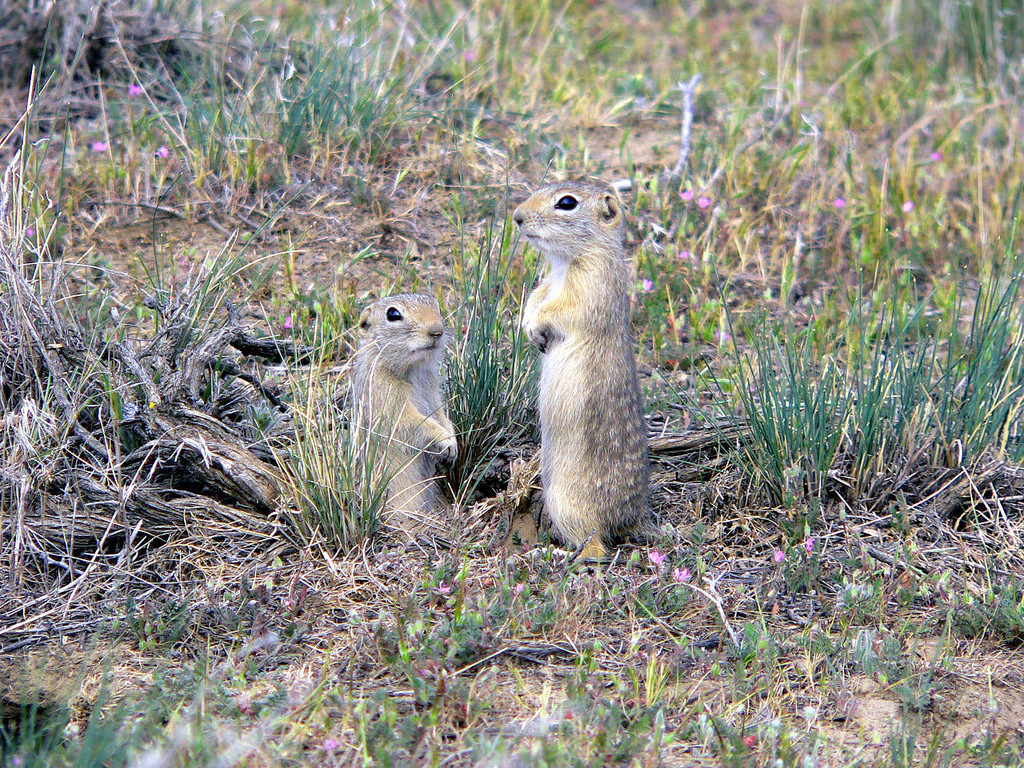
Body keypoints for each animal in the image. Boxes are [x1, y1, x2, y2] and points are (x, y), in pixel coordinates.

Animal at [351, 293, 457, 533]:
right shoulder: (386, 397)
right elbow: (414, 422)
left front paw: (453, 444)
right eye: (393, 314)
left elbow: (442, 416)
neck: (412, 368)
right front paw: (446, 441)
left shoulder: (433, 393)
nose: (436, 331)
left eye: (437, 307)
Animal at [513, 181, 650, 558]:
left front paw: (537, 326)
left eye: (567, 203)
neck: (565, 262)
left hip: (567, 505)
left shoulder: (589, 286)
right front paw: (528, 325)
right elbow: (537, 296)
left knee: (596, 549)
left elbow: (562, 308)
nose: (517, 216)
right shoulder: (547, 282)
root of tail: (630, 520)